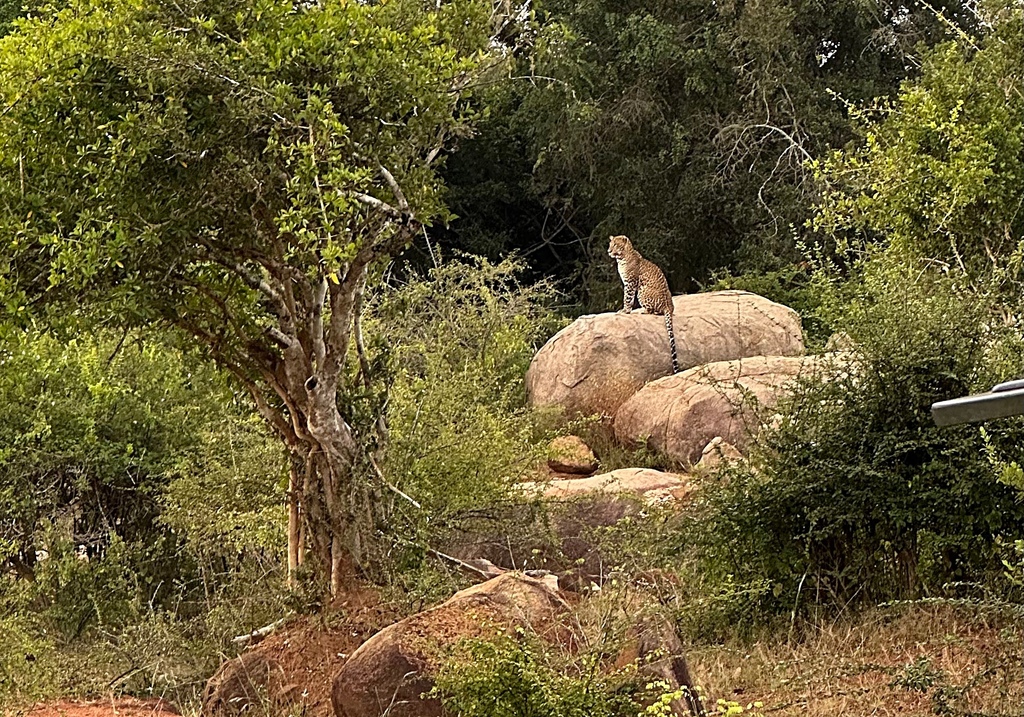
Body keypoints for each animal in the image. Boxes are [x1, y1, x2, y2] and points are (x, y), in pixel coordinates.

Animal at [606, 235, 679, 374]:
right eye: (610, 244)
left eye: (616, 245)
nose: (609, 251)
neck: (622, 258)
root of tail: (669, 306)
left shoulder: (630, 283)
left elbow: (627, 298)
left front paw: (625, 310)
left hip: (641, 291)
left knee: (655, 311)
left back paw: (642, 310)